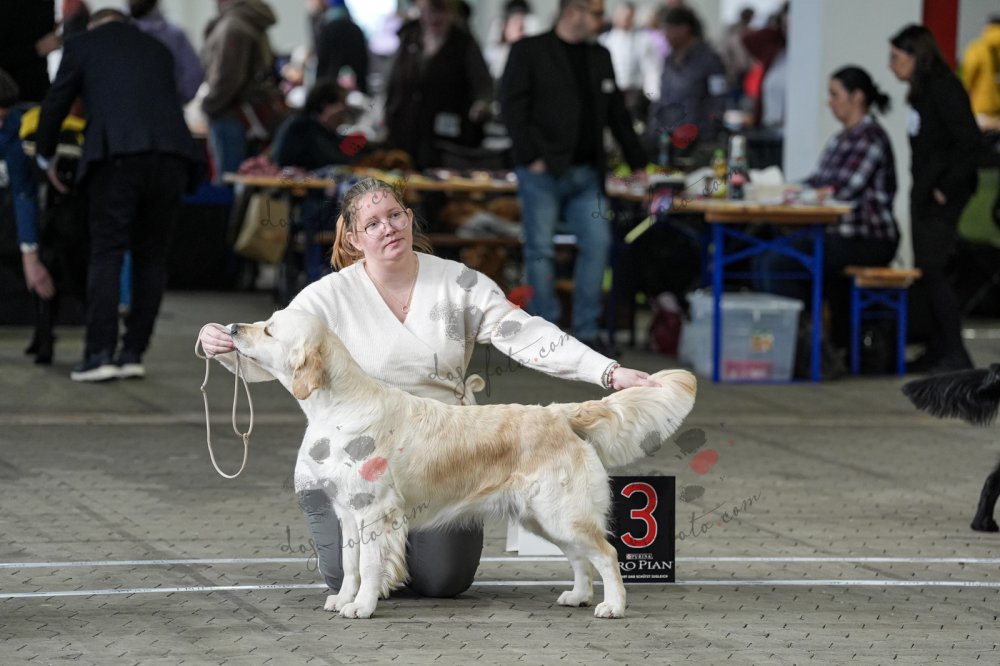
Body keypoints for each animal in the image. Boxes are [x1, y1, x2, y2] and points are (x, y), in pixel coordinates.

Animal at [228, 308, 697, 619]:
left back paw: (612, 605)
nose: (231, 327)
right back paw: (579, 596)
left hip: (561, 512)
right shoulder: (348, 514)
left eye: (268, 329)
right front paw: (344, 598)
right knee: (581, 558)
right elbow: (349, 565)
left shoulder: (376, 513)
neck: (340, 404)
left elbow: (370, 564)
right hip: (542, 517)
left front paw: (361, 607)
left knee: (606, 553)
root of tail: (559, 413)